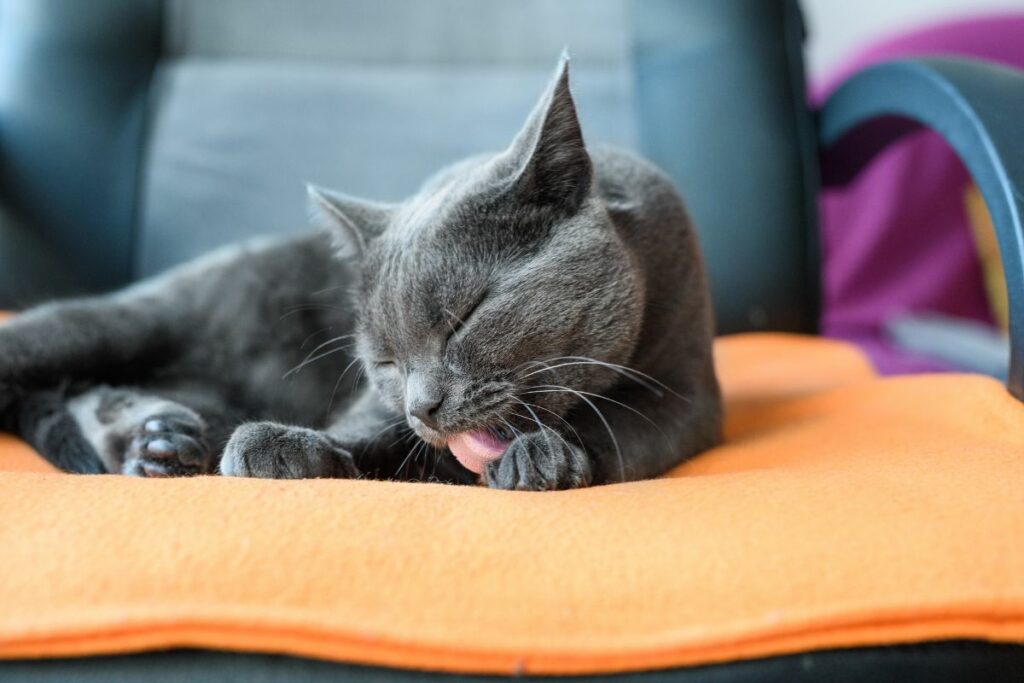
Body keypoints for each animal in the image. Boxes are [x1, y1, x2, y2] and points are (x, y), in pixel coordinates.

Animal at [0, 56, 720, 489]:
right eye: (386, 361)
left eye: (465, 319)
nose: (424, 405)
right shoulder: (378, 410)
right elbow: (368, 429)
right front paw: (283, 447)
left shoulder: (685, 388)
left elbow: (625, 434)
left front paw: (546, 455)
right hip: (121, 322)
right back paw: (157, 440)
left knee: (87, 390)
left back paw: (157, 440)